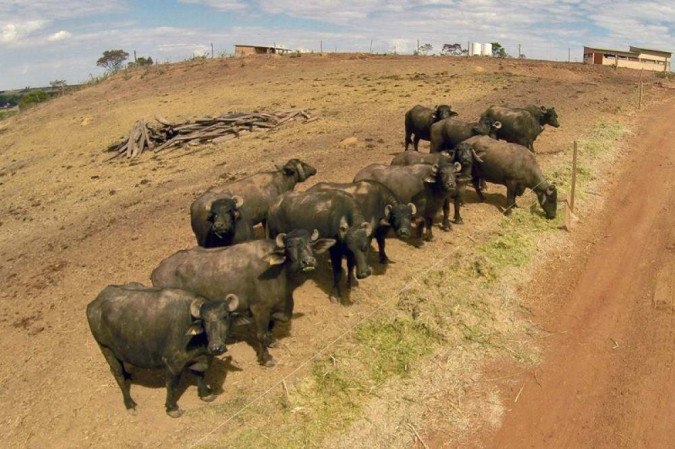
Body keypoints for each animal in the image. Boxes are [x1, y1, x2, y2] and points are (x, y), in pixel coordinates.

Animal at [87, 284, 240, 416]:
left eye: (225, 317)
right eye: (205, 321)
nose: (216, 347)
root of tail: (95, 303)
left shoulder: (202, 358)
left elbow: (200, 375)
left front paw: (205, 394)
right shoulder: (173, 364)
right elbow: (172, 385)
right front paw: (172, 408)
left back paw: (128, 376)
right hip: (106, 349)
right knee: (117, 373)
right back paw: (129, 404)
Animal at [151, 233, 336, 366]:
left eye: (311, 245)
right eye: (290, 246)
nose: (308, 261)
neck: (279, 273)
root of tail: (157, 270)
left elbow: (271, 327)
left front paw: (272, 342)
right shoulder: (259, 309)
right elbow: (261, 334)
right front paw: (266, 359)